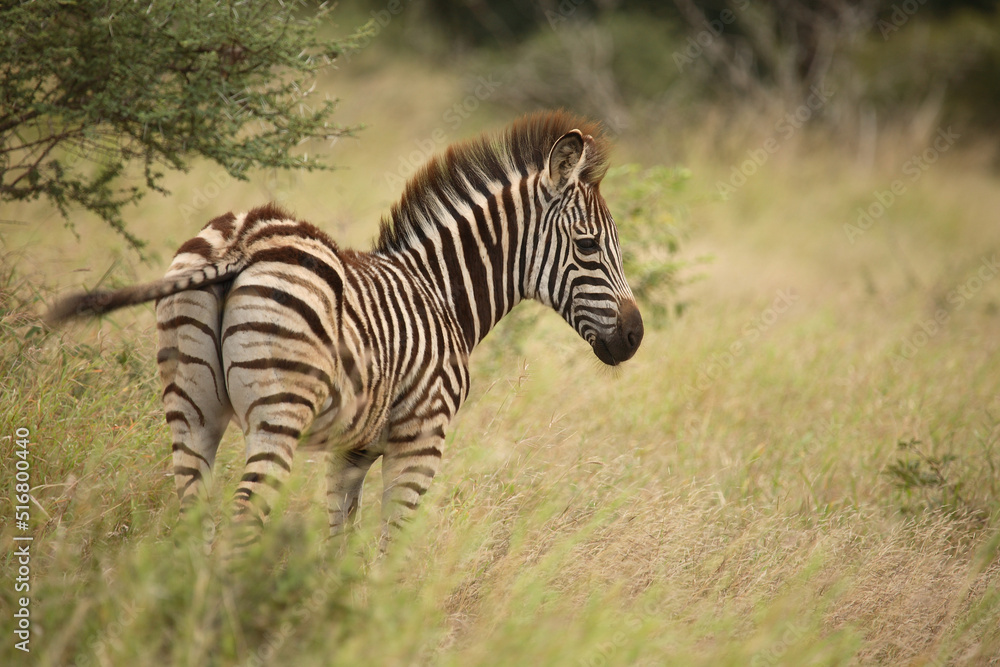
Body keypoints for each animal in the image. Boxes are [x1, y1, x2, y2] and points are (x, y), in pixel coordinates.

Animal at [47, 110, 644, 551]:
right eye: (588, 246)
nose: (635, 336)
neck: (439, 294)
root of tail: (244, 239)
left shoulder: (350, 453)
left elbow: (340, 542)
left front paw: (328, 609)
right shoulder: (419, 441)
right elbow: (386, 552)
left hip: (190, 408)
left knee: (194, 526)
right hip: (278, 413)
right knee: (240, 526)